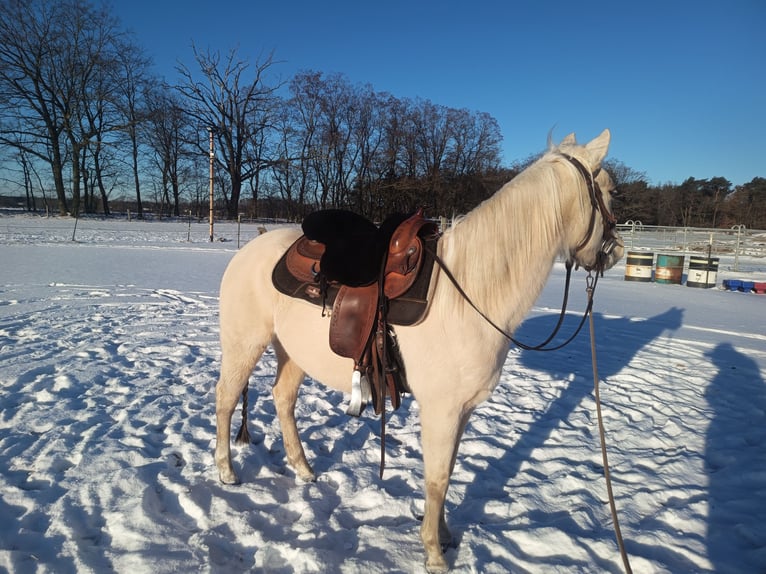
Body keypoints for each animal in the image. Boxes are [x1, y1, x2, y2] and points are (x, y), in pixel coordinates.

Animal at [214, 129, 624, 572]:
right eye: (608, 191)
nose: (616, 252)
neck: (470, 292)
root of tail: (250, 250)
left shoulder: (461, 410)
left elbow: (448, 471)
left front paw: (444, 537)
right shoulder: (441, 409)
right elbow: (437, 478)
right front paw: (434, 554)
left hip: (292, 354)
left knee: (282, 399)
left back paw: (303, 470)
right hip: (244, 344)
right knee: (226, 399)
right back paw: (226, 472)